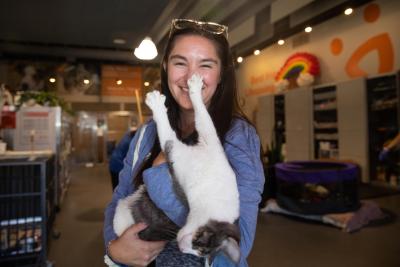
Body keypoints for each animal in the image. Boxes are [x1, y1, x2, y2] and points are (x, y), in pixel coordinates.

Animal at [112, 73, 241, 264]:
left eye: (198, 250)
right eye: (198, 241)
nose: (181, 248)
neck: (214, 194)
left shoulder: (174, 150)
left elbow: (167, 132)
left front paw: (157, 106)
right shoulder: (209, 139)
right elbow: (203, 116)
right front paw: (195, 89)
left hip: (123, 213)